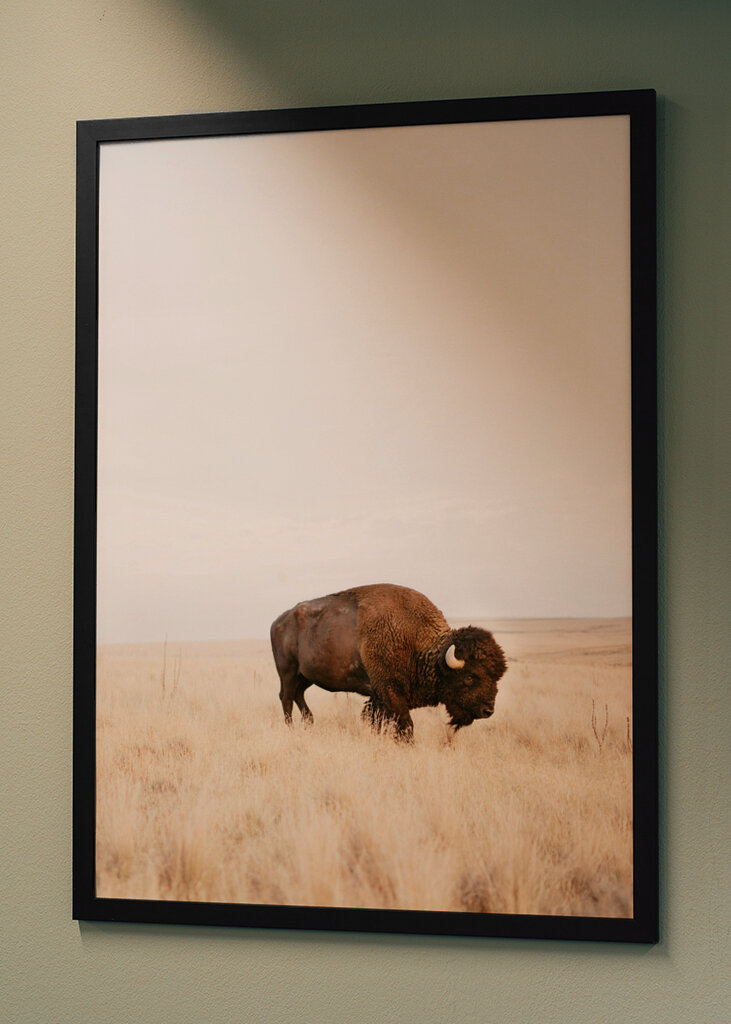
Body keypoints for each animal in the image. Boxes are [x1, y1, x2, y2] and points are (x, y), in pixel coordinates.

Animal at [270, 583, 506, 740]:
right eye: (470, 677)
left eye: (497, 677)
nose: (488, 710)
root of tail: (277, 621)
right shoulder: (390, 691)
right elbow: (405, 724)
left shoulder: (379, 697)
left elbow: (378, 720)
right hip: (288, 671)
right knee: (286, 698)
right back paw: (292, 729)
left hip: (305, 675)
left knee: (298, 695)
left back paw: (309, 723)